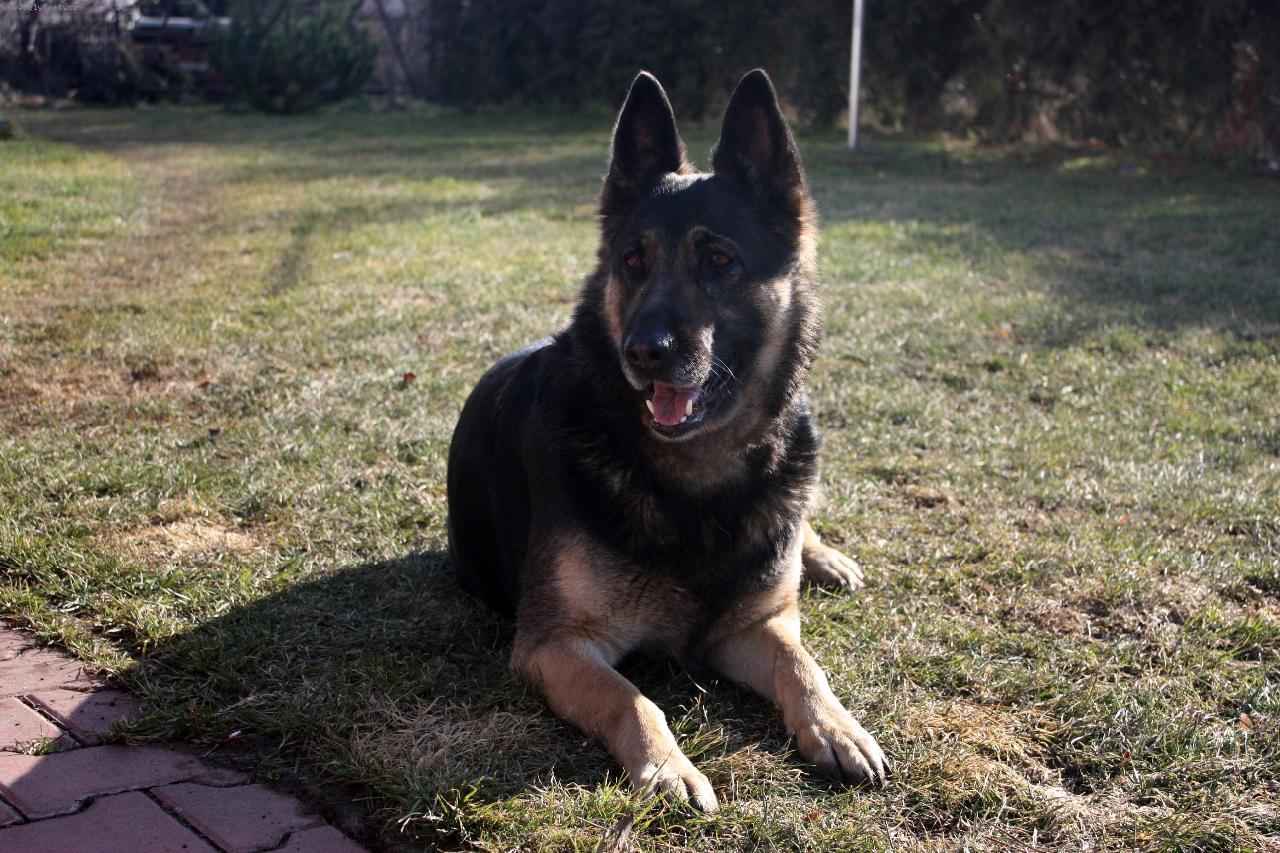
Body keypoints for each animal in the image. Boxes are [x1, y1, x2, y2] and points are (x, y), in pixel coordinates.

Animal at [446, 68, 889, 813]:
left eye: (720, 259)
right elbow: (632, 697)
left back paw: (824, 557)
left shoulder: (754, 627)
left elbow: (804, 665)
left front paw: (838, 726)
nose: (642, 353)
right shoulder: (555, 645)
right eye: (632, 261)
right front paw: (666, 765)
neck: (693, 483)